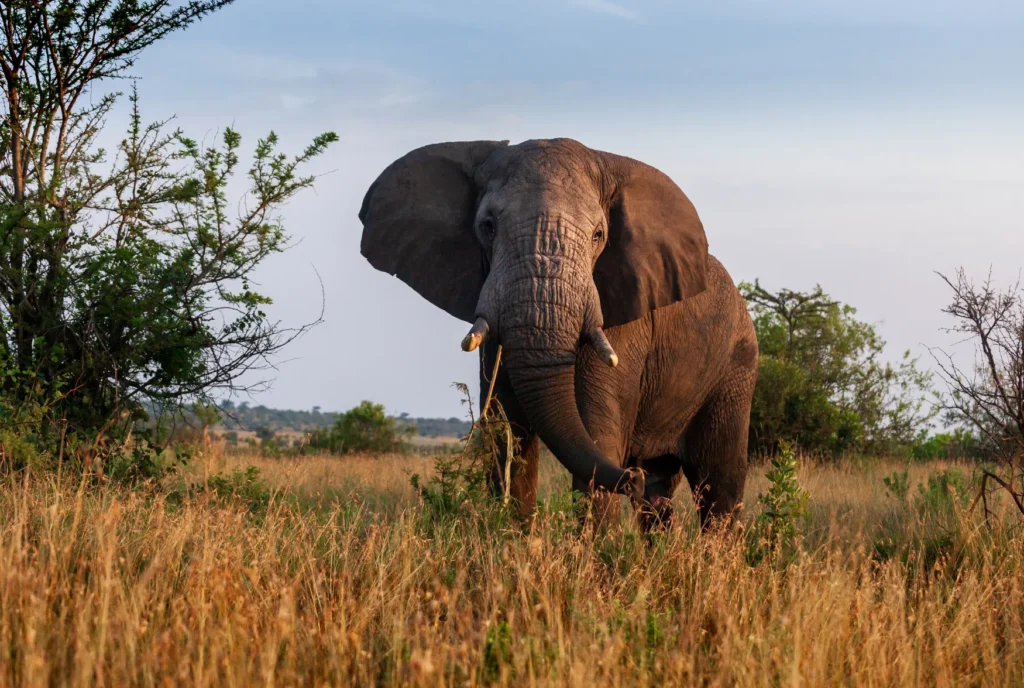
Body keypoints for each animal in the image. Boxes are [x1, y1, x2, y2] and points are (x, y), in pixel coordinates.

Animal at [358, 138, 757, 530]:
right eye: (488, 226)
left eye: (598, 235)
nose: (631, 477)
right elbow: (508, 435)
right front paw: (513, 538)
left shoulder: (625, 322)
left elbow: (596, 434)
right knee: (658, 501)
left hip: (735, 369)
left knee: (719, 485)